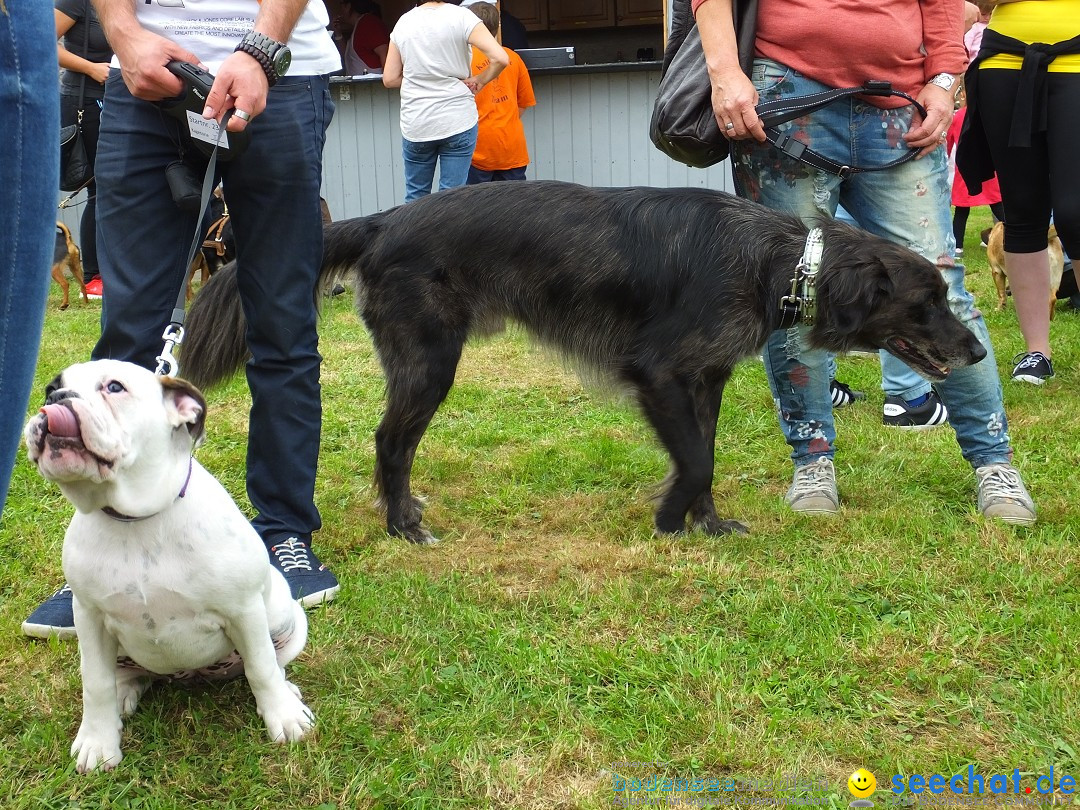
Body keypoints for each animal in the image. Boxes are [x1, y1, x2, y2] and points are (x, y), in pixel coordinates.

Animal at [183, 180, 989, 542]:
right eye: (927, 301)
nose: (980, 349)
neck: (779, 260)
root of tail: (382, 220)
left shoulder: (705, 380)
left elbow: (708, 457)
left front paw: (708, 524)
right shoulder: (658, 374)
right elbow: (695, 459)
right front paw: (669, 520)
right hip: (430, 361)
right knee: (390, 441)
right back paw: (402, 524)